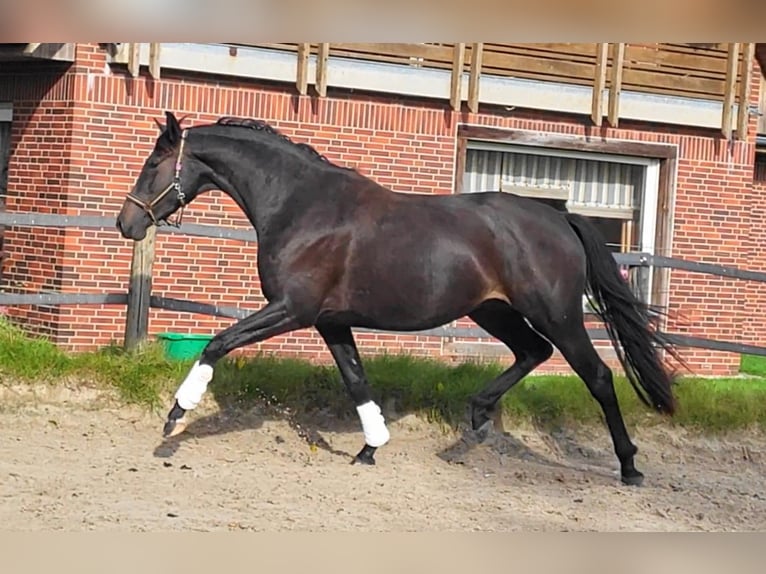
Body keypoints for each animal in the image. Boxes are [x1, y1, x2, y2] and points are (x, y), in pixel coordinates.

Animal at [116, 111, 682, 486]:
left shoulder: (292, 309)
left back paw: (629, 466)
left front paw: (175, 415)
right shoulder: (330, 321)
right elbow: (355, 379)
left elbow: (218, 342)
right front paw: (370, 448)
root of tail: (559, 218)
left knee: (597, 375)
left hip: (557, 313)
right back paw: (475, 422)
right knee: (531, 352)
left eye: (152, 164)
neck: (301, 206)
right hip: (492, 310)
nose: (128, 223)